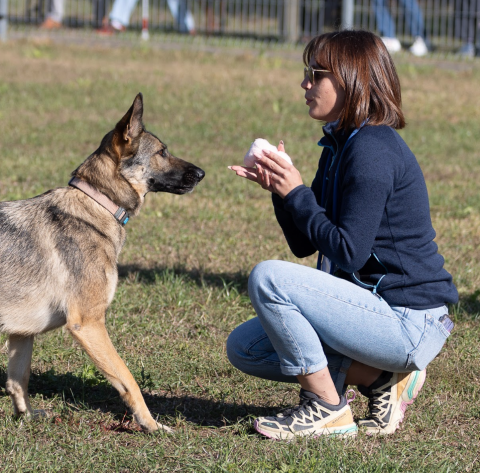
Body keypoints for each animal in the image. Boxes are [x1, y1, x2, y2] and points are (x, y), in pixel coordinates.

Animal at [0, 92, 204, 432]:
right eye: (162, 152)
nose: (202, 173)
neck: (98, 202)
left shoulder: (23, 333)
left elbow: (19, 379)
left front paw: (25, 417)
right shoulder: (89, 323)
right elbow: (128, 380)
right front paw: (150, 425)